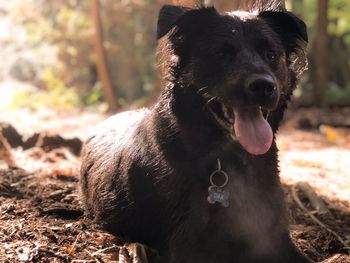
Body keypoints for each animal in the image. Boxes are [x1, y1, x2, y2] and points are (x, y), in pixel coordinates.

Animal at [80, 3, 310, 262]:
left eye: (271, 54)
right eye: (221, 54)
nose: (263, 86)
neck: (229, 161)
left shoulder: (275, 238)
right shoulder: (188, 245)